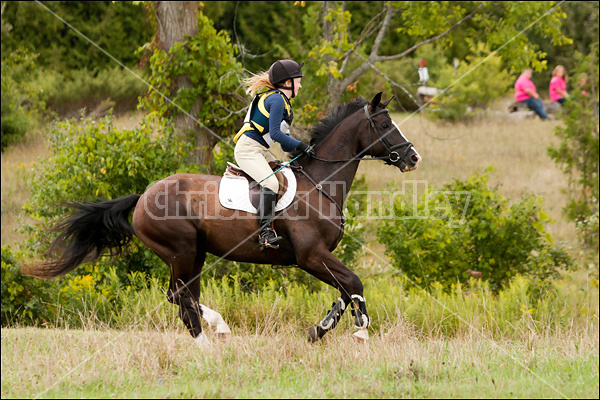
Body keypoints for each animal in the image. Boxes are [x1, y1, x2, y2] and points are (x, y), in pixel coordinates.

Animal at [22, 92, 422, 346]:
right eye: (385, 124)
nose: (412, 157)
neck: (320, 183)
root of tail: (142, 197)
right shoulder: (310, 256)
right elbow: (353, 283)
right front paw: (361, 329)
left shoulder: (318, 257)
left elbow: (344, 291)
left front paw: (319, 330)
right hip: (181, 249)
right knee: (180, 294)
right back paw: (217, 328)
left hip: (194, 252)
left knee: (183, 298)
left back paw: (207, 345)